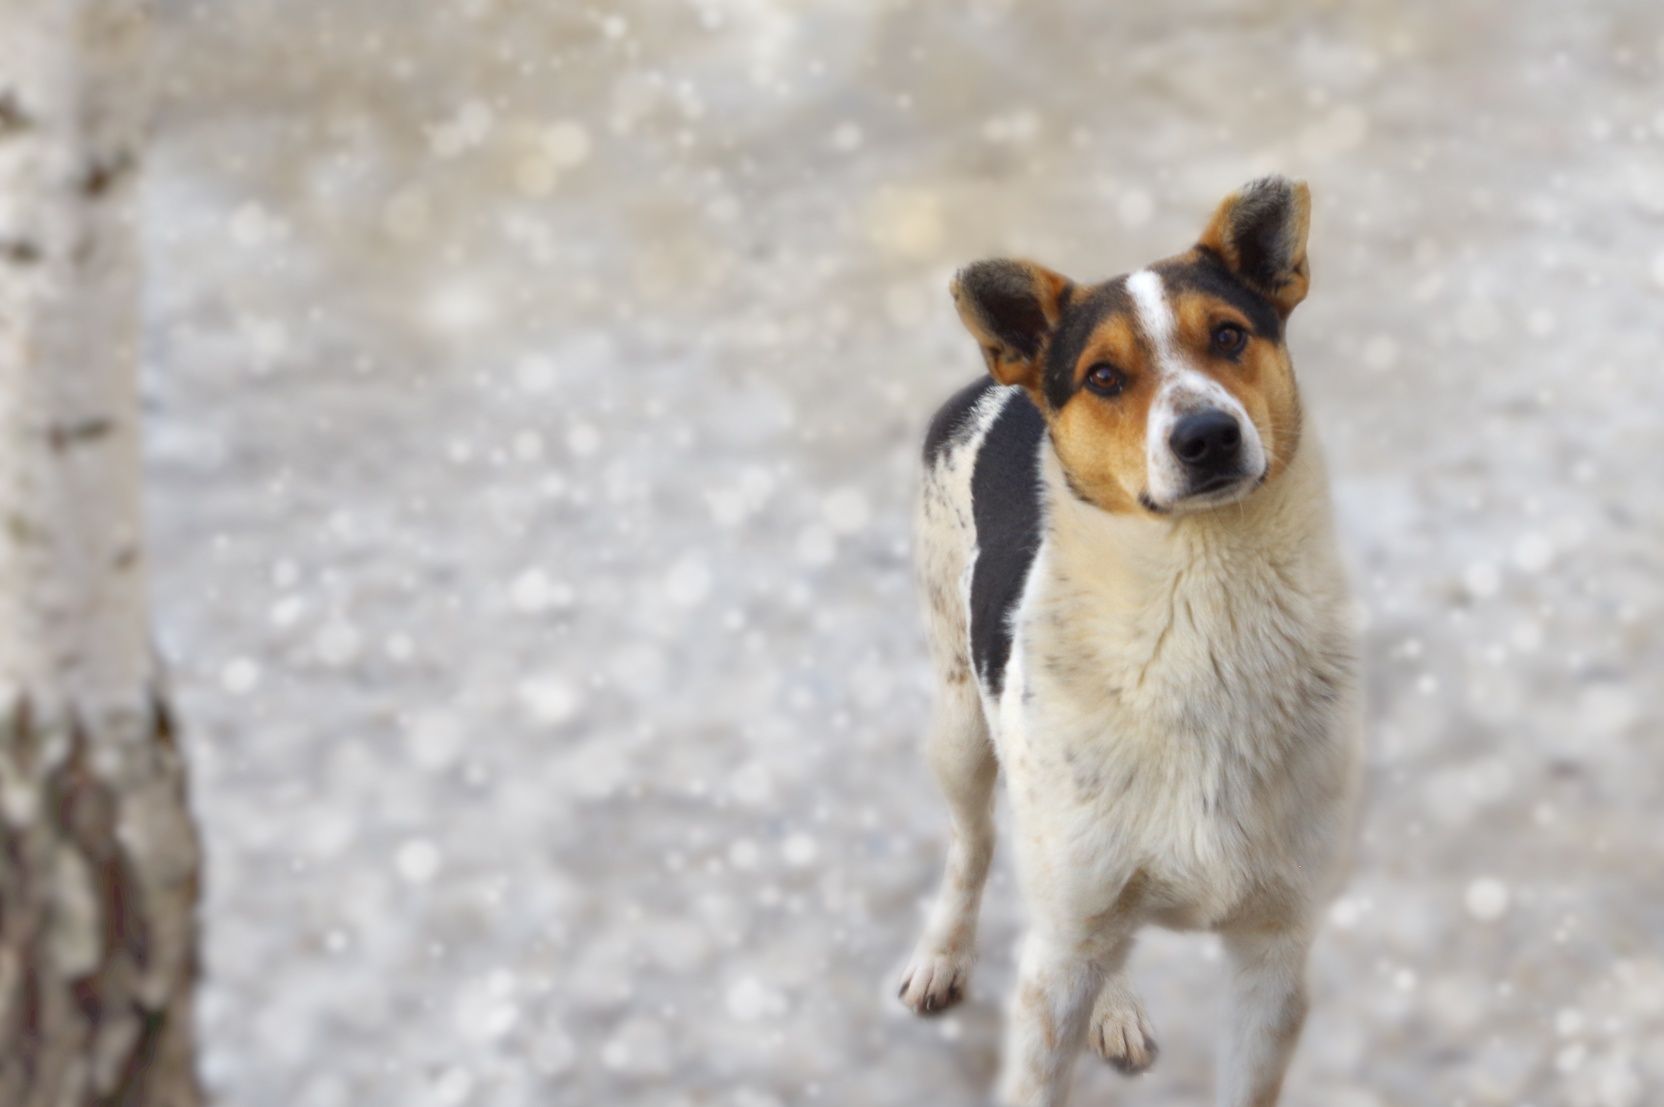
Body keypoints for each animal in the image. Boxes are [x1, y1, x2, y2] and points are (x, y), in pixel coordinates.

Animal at [905, 177, 1357, 1098]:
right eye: (1103, 377)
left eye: (1229, 335)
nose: (1207, 436)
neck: (1206, 607)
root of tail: (996, 385)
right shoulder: (1058, 956)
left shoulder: (1276, 949)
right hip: (959, 720)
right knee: (972, 845)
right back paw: (942, 954)